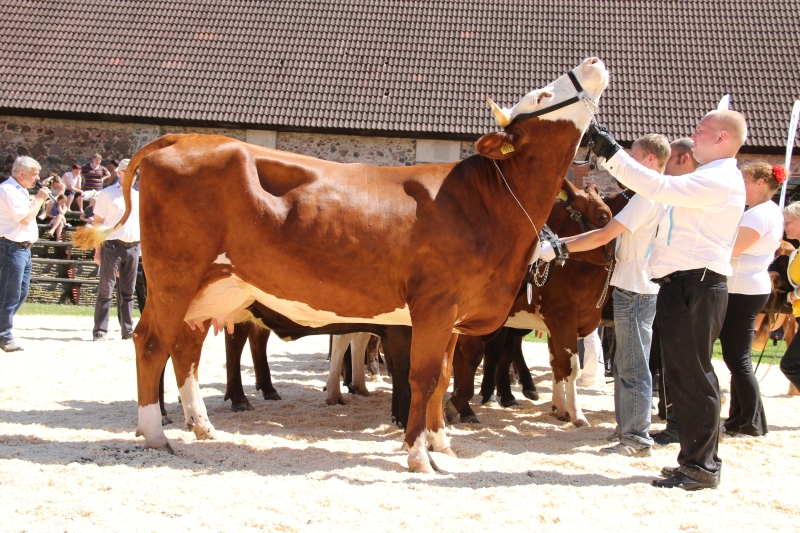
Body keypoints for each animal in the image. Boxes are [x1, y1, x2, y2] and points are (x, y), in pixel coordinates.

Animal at [75, 57, 609, 473]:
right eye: (542, 93)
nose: (593, 61)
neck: (489, 202)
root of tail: (180, 138)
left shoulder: (455, 315)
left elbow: (443, 376)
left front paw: (442, 444)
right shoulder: (434, 304)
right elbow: (424, 377)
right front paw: (418, 455)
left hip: (214, 286)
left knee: (184, 347)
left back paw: (201, 425)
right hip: (175, 275)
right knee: (151, 342)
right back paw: (154, 433)